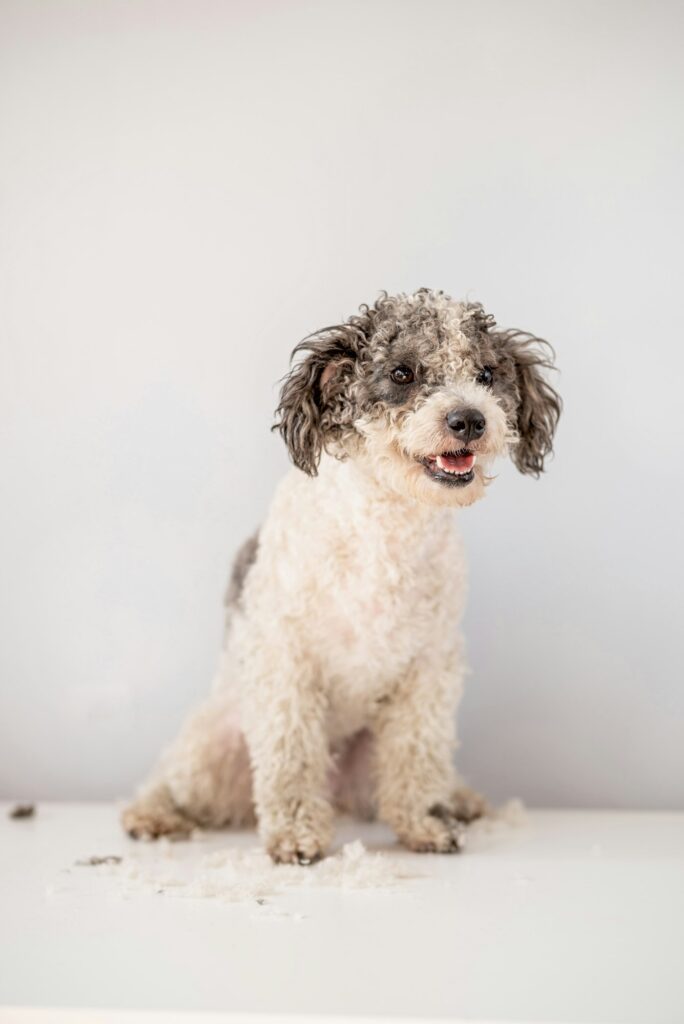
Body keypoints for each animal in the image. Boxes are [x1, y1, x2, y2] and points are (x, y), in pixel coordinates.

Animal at [122, 288, 561, 864]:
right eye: (401, 373)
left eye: (487, 374)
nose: (469, 419)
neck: (384, 532)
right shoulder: (286, 661)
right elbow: (289, 757)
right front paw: (295, 835)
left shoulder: (430, 669)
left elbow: (417, 754)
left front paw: (424, 823)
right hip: (211, 750)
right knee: (174, 781)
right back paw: (150, 814)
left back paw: (458, 800)